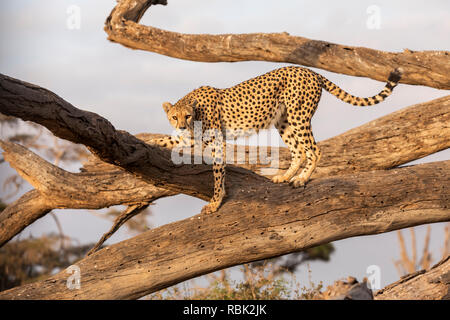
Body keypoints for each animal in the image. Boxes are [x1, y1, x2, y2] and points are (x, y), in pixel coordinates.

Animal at [156, 66, 402, 214]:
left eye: (187, 116)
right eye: (174, 117)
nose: (181, 125)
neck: (195, 111)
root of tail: (309, 70)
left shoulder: (217, 142)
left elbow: (217, 174)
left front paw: (215, 202)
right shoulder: (190, 137)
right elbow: (167, 141)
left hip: (298, 115)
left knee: (314, 150)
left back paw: (301, 179)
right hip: (283, 121)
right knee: (299, 150)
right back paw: (285, 176)